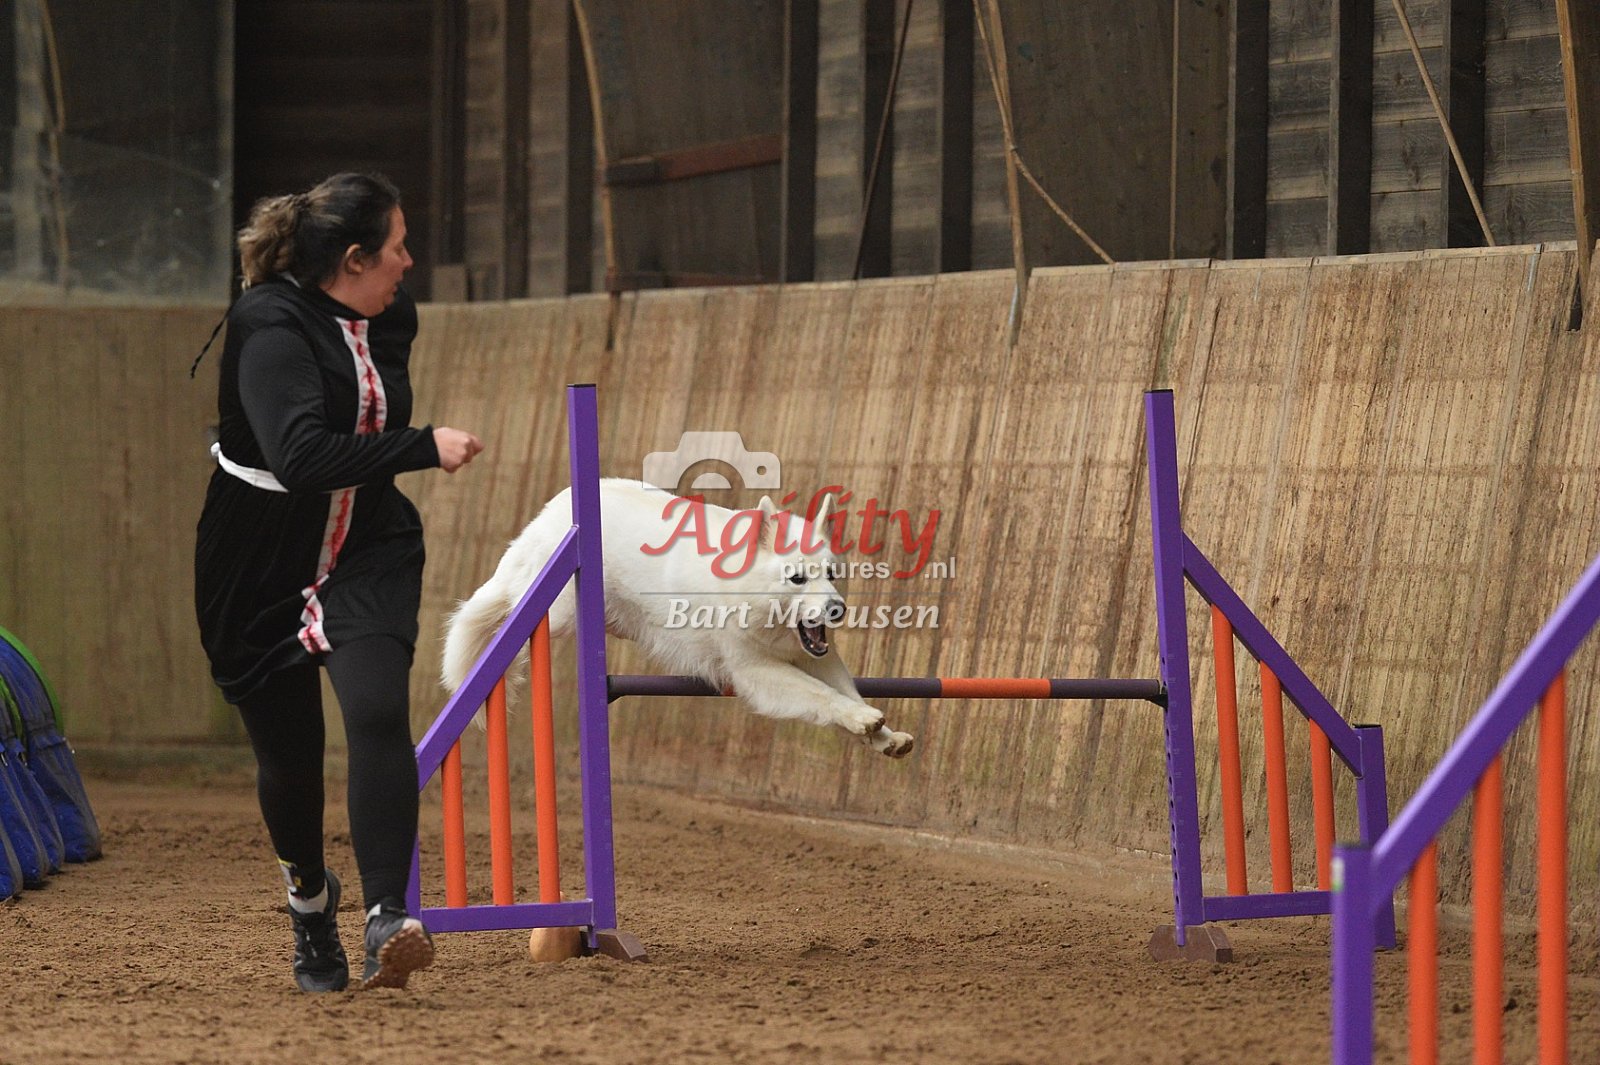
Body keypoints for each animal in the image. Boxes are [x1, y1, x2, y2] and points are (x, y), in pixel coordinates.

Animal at [441, 479, 915, 757]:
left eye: (831, 574)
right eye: (797, 578)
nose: (837, 609)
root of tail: (557, 505)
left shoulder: (818, 656)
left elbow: (846, 691)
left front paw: (883, 736)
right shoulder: (757, 672)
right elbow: (822, 696)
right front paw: (864, 722)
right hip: (556, 612)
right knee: (506, 605)